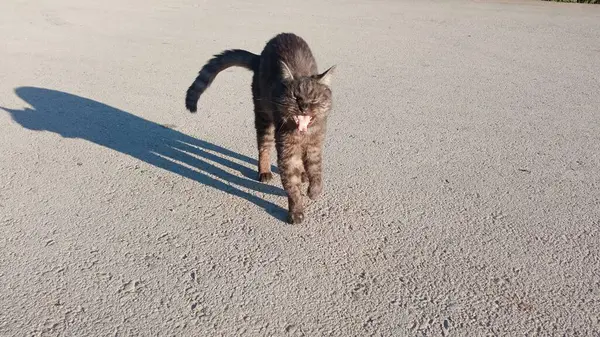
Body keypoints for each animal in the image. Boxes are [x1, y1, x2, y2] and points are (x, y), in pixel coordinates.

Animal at [185, 32, 336, 224]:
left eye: (314, 98)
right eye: (295, 97)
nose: (304, 107)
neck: (303, 134)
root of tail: (259, 57)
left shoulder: (315, 146)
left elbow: (316, 171)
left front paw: (314, 191)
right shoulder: (287, 151)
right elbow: (291, 185)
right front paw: (296, 211)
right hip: (264, 118)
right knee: (263, 147)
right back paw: (264, 171)